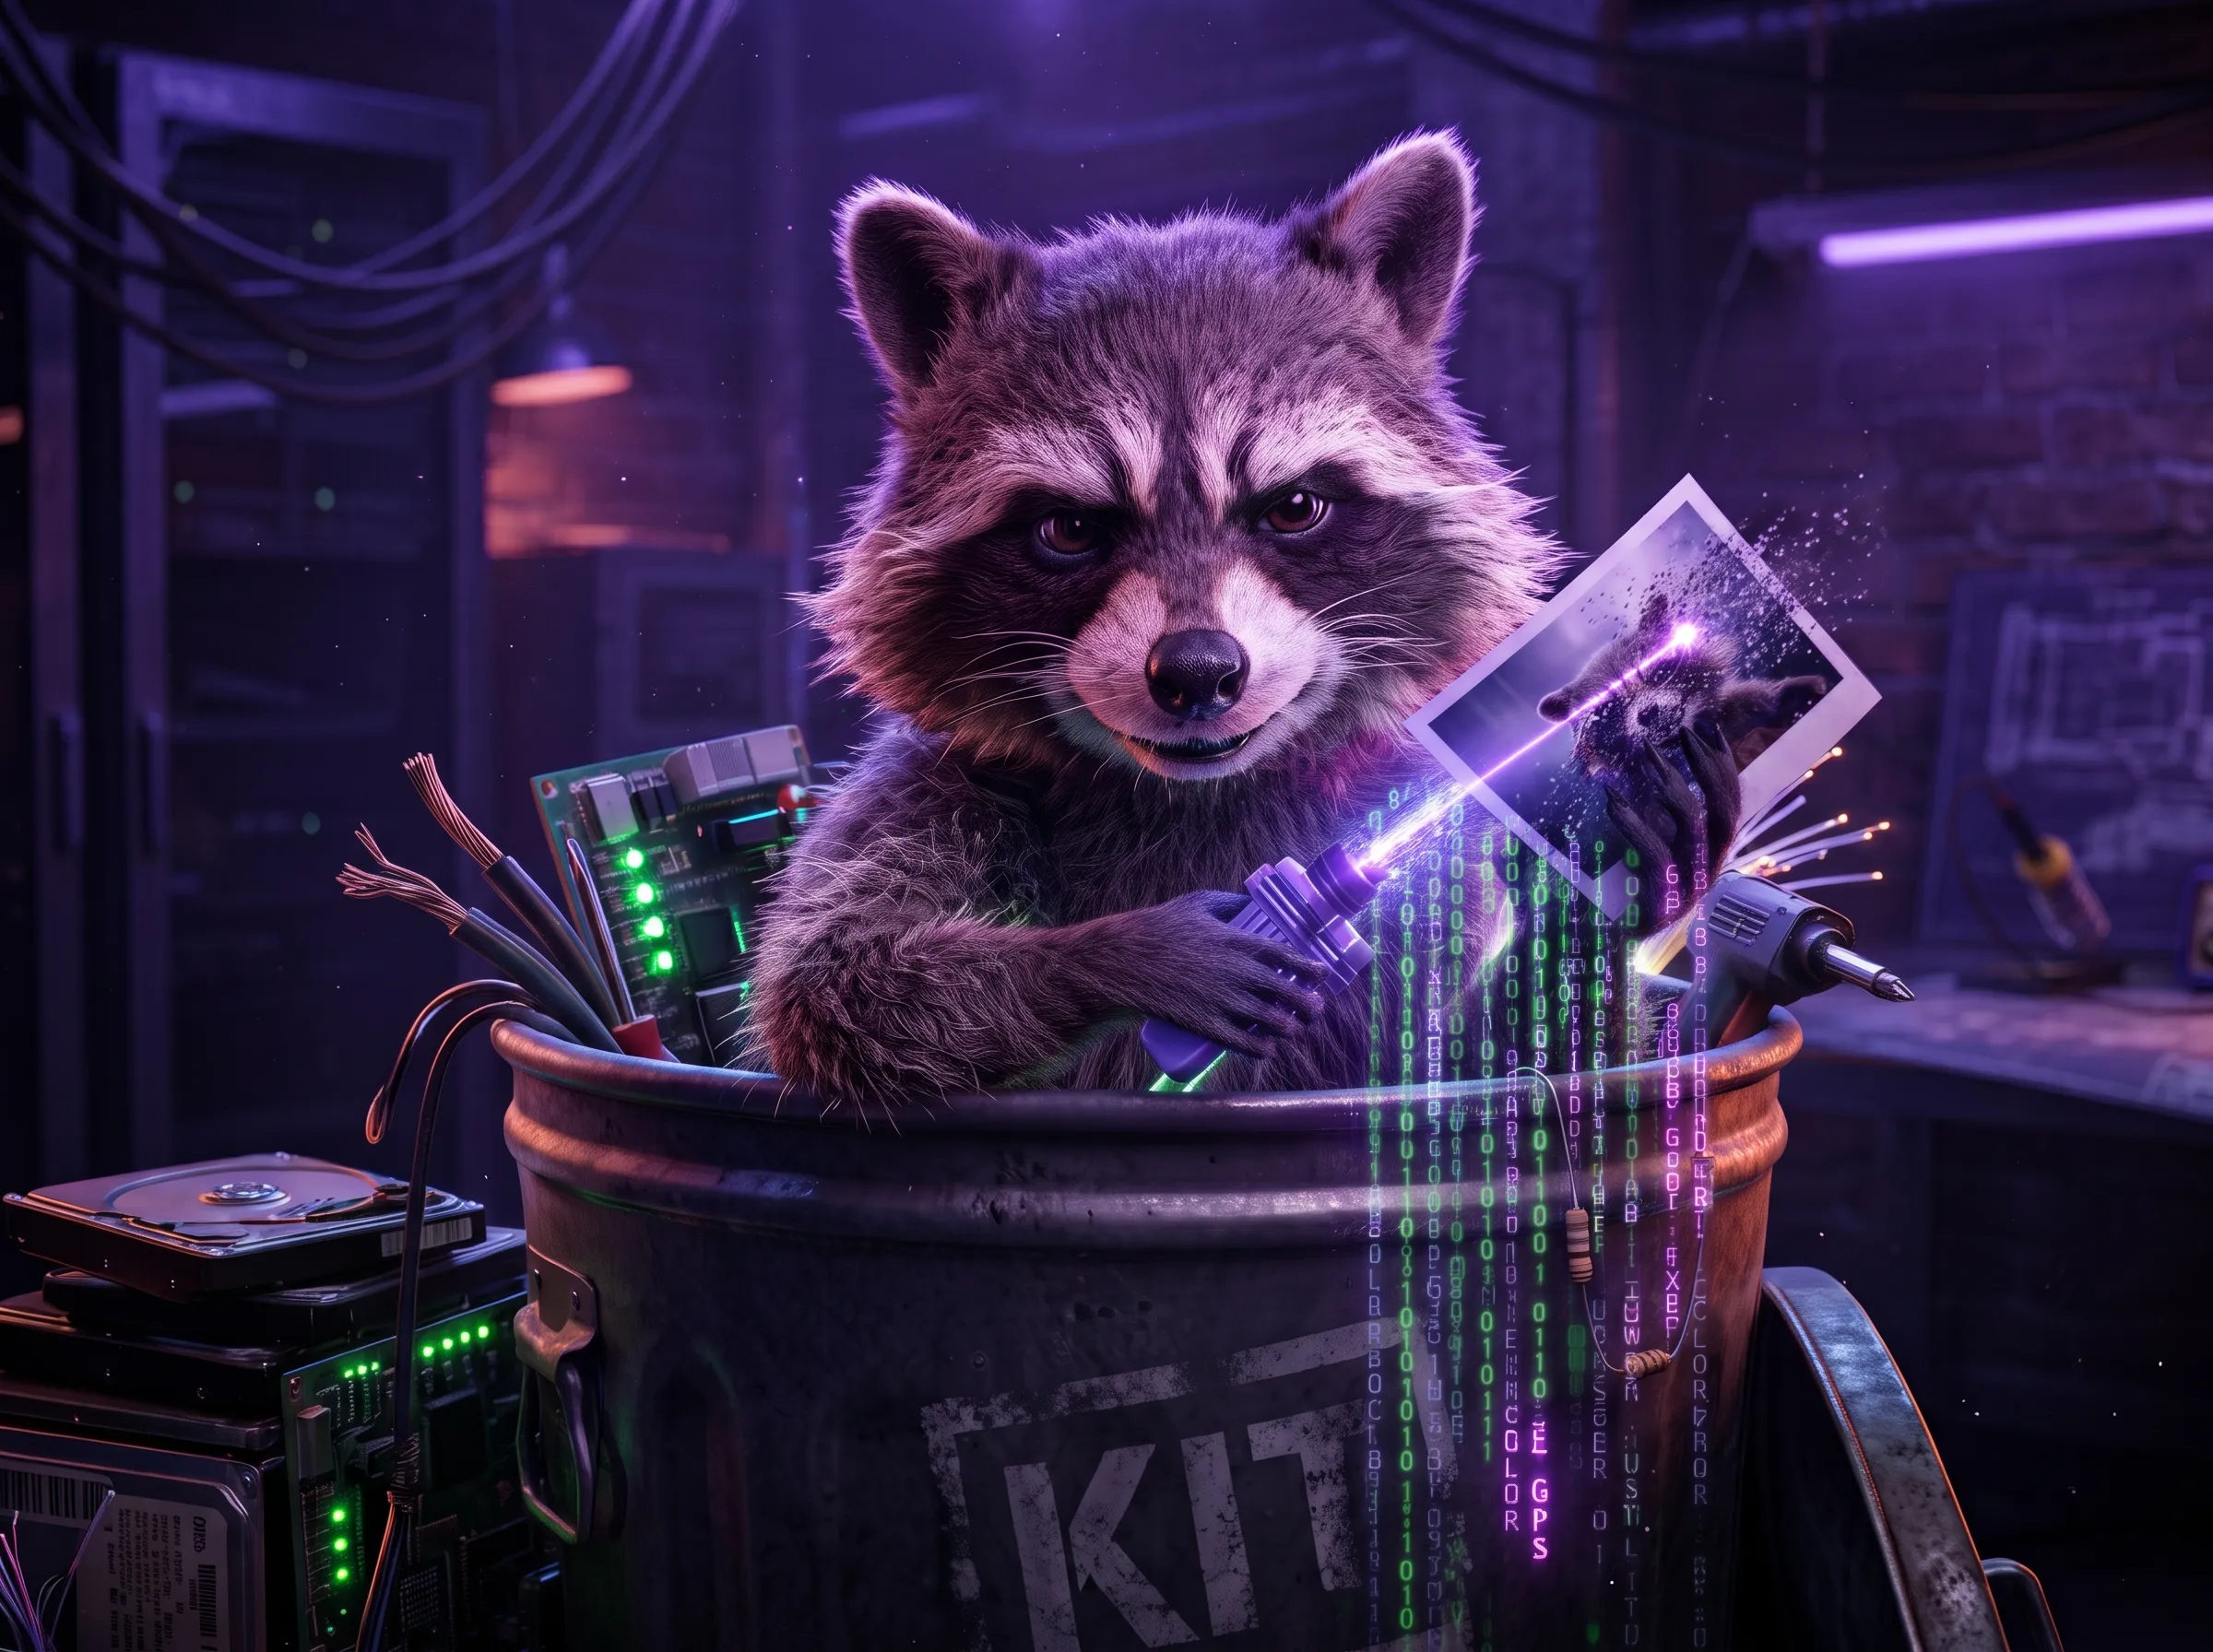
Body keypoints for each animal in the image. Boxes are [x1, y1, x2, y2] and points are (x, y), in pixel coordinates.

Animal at [749, 135, 1557, 1106]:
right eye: (1069, 529)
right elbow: (836, 981)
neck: (1193, 792)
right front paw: (1127, 952)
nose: (1197, 671)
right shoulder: (936, 784)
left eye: (1293, 508)